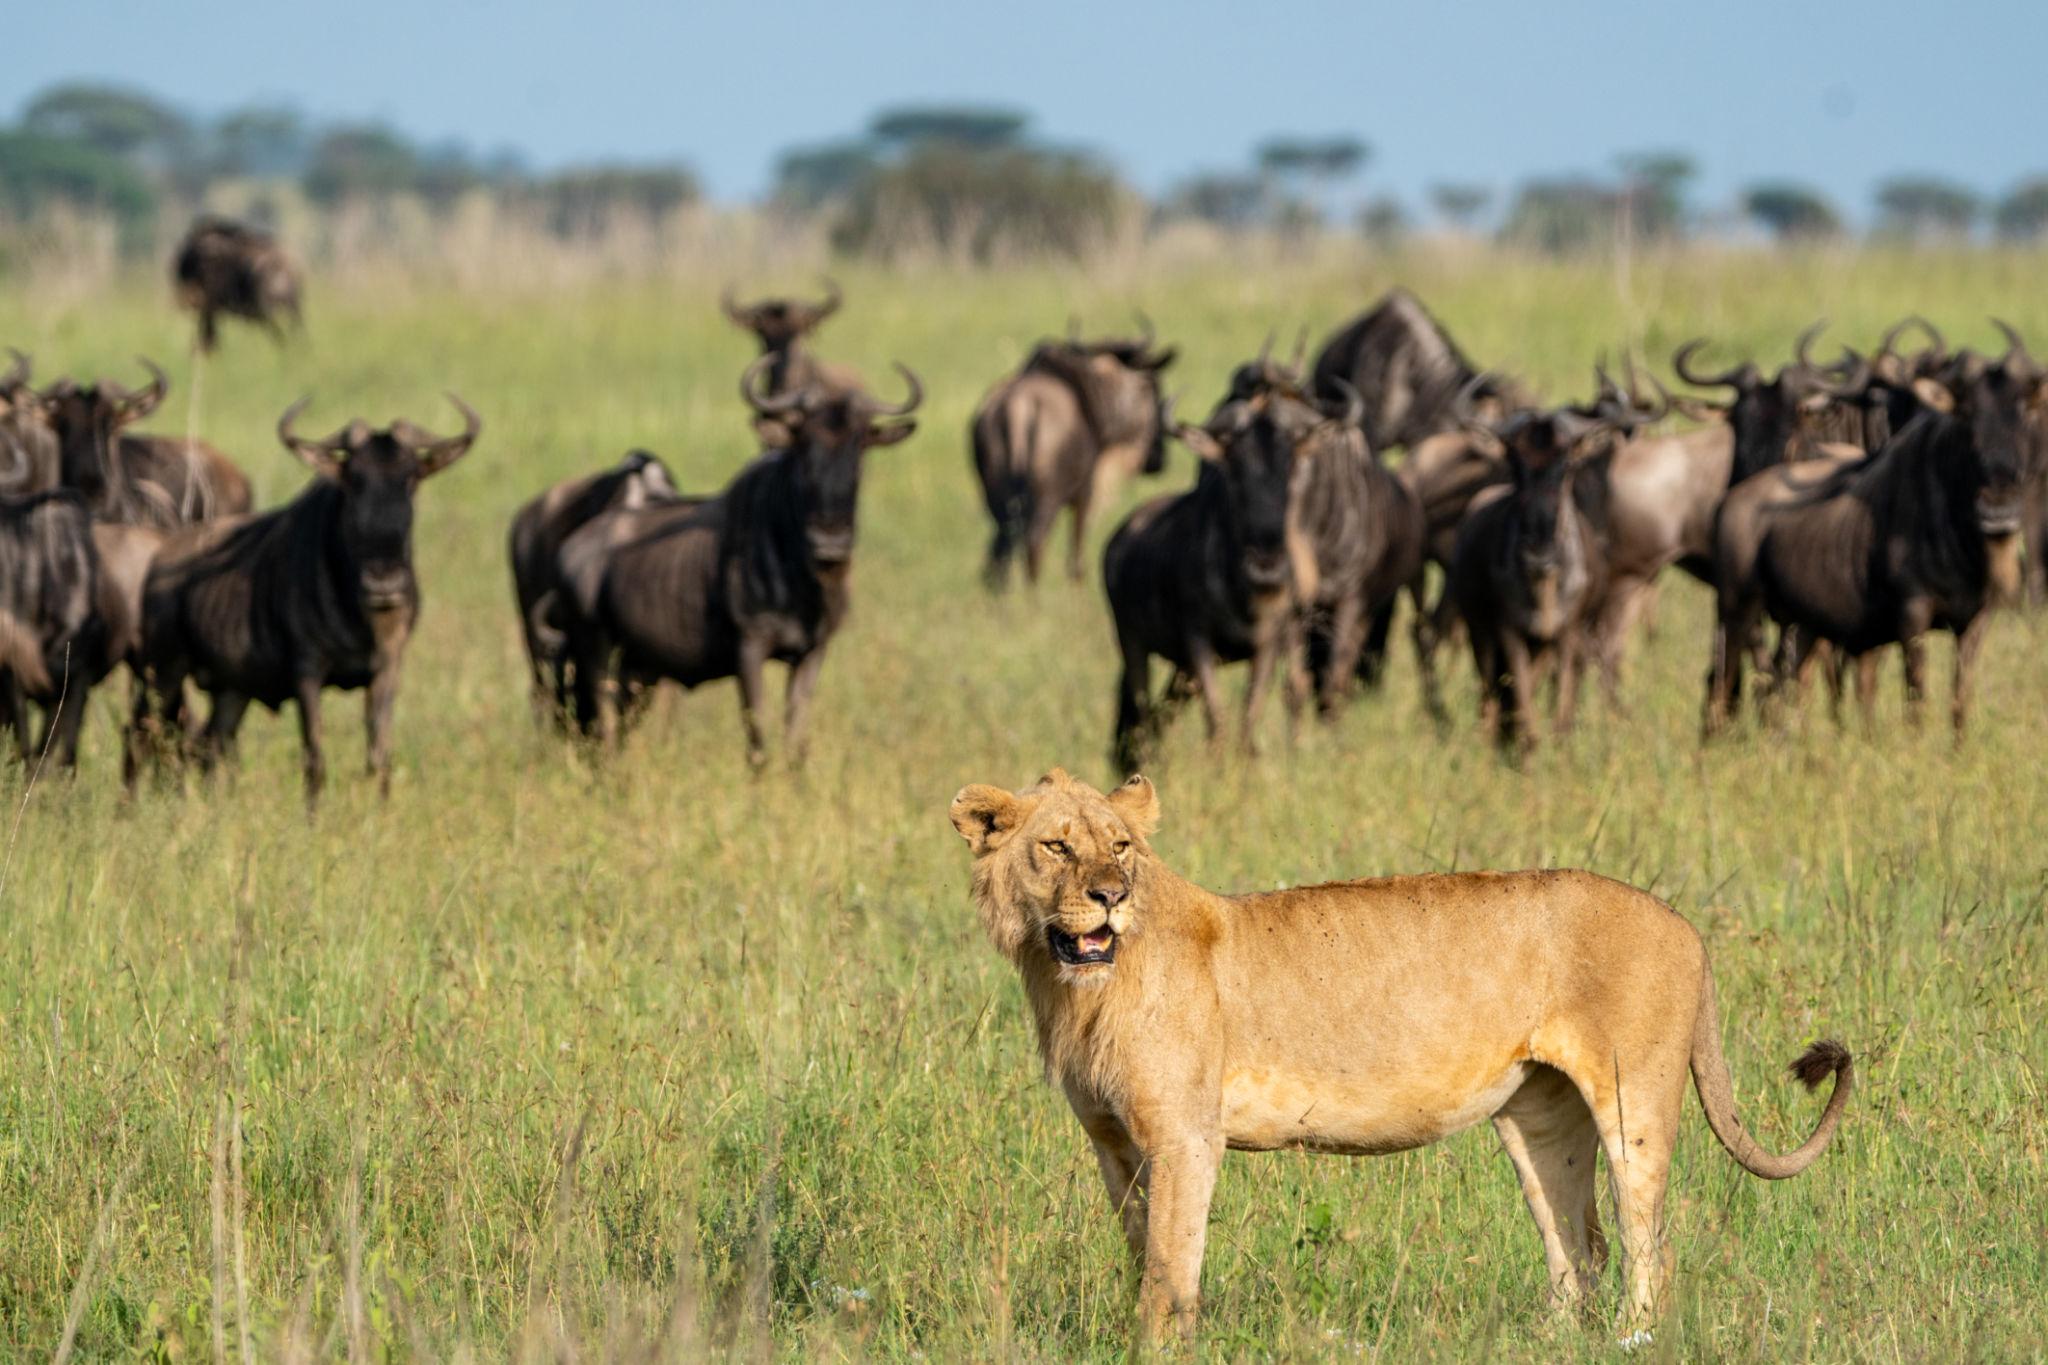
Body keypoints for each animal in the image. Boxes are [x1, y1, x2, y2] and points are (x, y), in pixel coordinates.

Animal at [948, 768, 1852, 1342]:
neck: (1072, 985)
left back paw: (1635, 1338)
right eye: (1057, 847)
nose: (1111, 894)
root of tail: (1688, 927)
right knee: (1577, 1248)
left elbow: (1171, 1265)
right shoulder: (1113, 1142)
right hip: (1538, 1120)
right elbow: (1144, 1250)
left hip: (1633, 1100)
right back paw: (1550, 1340)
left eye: (1123, 846)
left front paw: (1160, 1347)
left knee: (1647, 1242)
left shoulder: (1186, 1136)